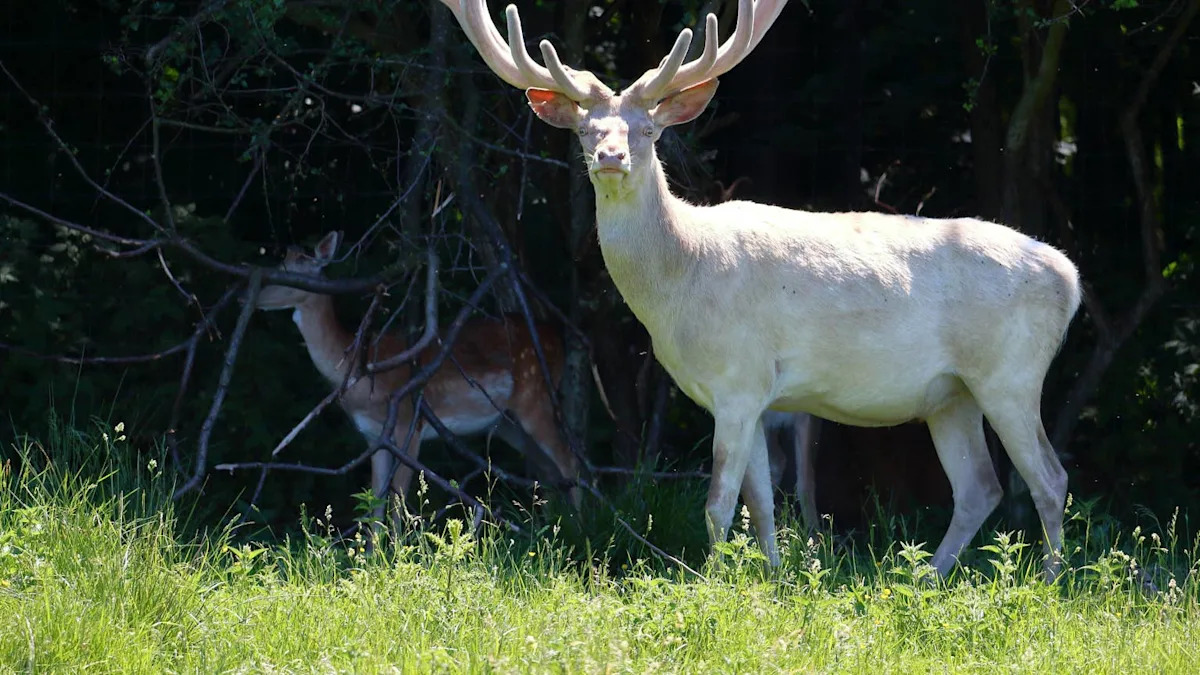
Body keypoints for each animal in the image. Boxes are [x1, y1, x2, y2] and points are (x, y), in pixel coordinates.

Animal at [254, 230, 579, 528]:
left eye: (291, 276)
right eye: (278, 265)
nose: (254, 297)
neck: (362, 373)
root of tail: (556, 336)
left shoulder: (408, 422)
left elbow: (397, 502)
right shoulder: (374, 436)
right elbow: (375, 503)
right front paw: (373, 553)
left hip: (535, 396)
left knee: (569, 461)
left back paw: (580, 524)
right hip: (507, 423)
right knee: (548, 472)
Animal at [439, 0, 1082, 580]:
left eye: (647, 130)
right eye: (585, 130)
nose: (611, 156)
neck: (680, 283)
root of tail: (1069, 279)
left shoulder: (739, 377)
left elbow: (720, 502)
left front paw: (711, 583)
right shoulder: (748, 393)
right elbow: (763, 505)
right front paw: (772, 580)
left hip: (1010, 372)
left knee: (1050, 478)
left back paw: (1049, 583)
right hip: (951, 394)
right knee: (980, 487)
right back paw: (925, 578)